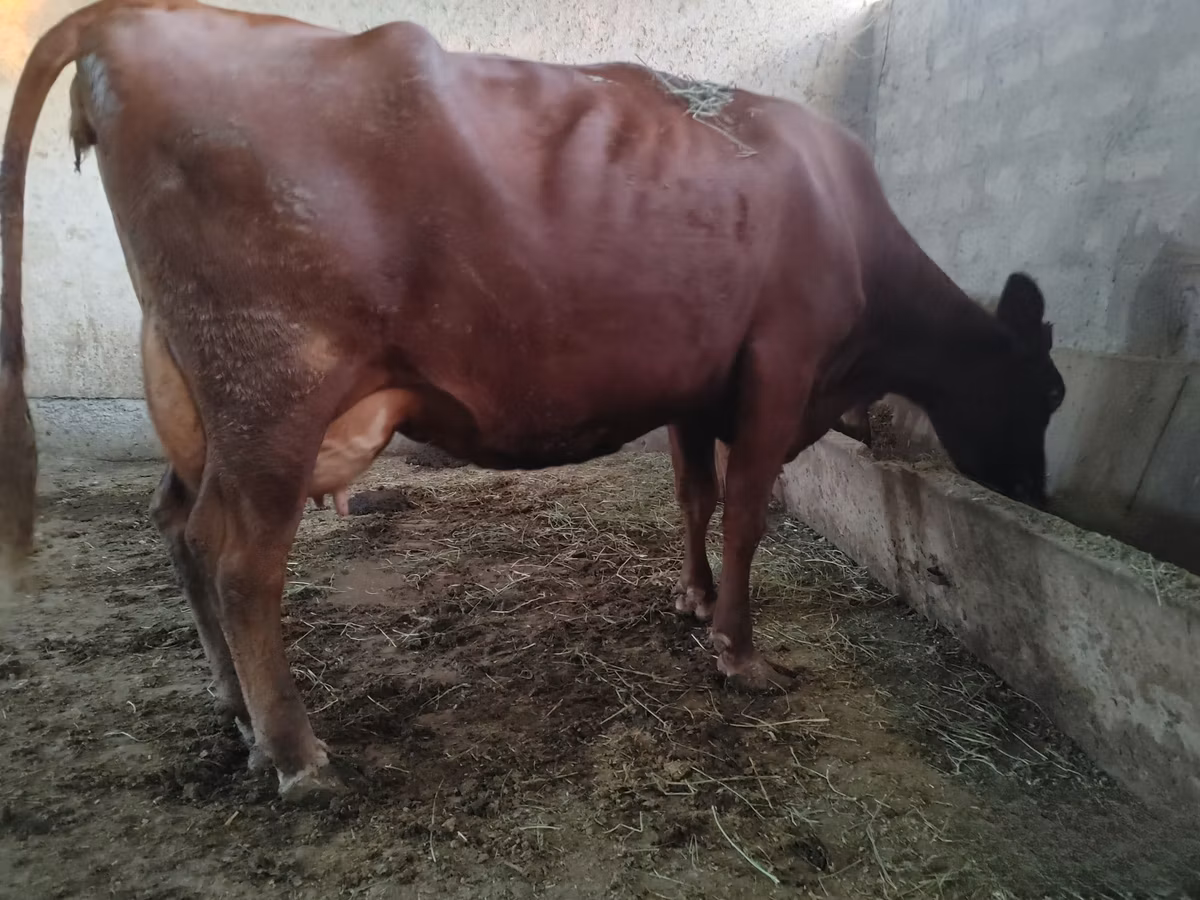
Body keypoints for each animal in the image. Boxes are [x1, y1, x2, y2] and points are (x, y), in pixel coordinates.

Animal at [0, 0, 1065, 801]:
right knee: (239, 562)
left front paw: (691, 599)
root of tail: (132, 19)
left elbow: (695, 498)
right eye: (1050, 391)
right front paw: (739, 651)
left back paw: (235, 711)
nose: (1040, 496)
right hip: (274, 391)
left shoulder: (698, 385)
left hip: (194, 394)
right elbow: (748, 515)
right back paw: (297, 755)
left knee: (177, 525)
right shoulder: (779, 370)